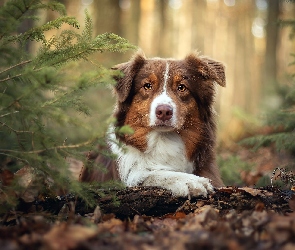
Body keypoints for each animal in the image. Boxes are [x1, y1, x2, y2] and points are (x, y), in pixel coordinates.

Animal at [81, 50, 227, 197]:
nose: (164, 111)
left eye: (181, 87)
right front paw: (189, 181)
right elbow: (150, 174)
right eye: (147, 86)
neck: (163, 141)